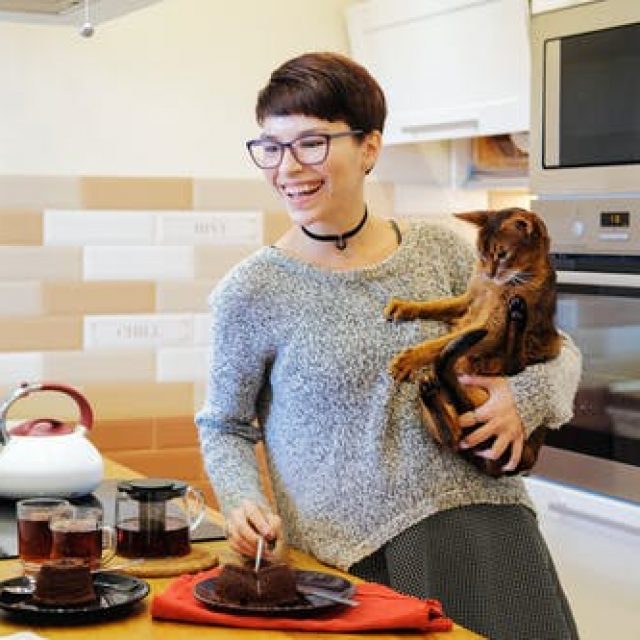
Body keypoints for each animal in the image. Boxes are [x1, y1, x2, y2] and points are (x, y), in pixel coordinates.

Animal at [384, 208, 561, 477]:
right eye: (481, 253)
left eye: (502, 254)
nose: (489, 272)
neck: (497, 286)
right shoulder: (467, 302)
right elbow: (437, 305)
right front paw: (405, 307)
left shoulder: (490, 329)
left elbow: (436, 344)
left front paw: (407, 359)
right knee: (453, 435)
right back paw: (430, 391)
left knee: (512, 365)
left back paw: (516, 317)